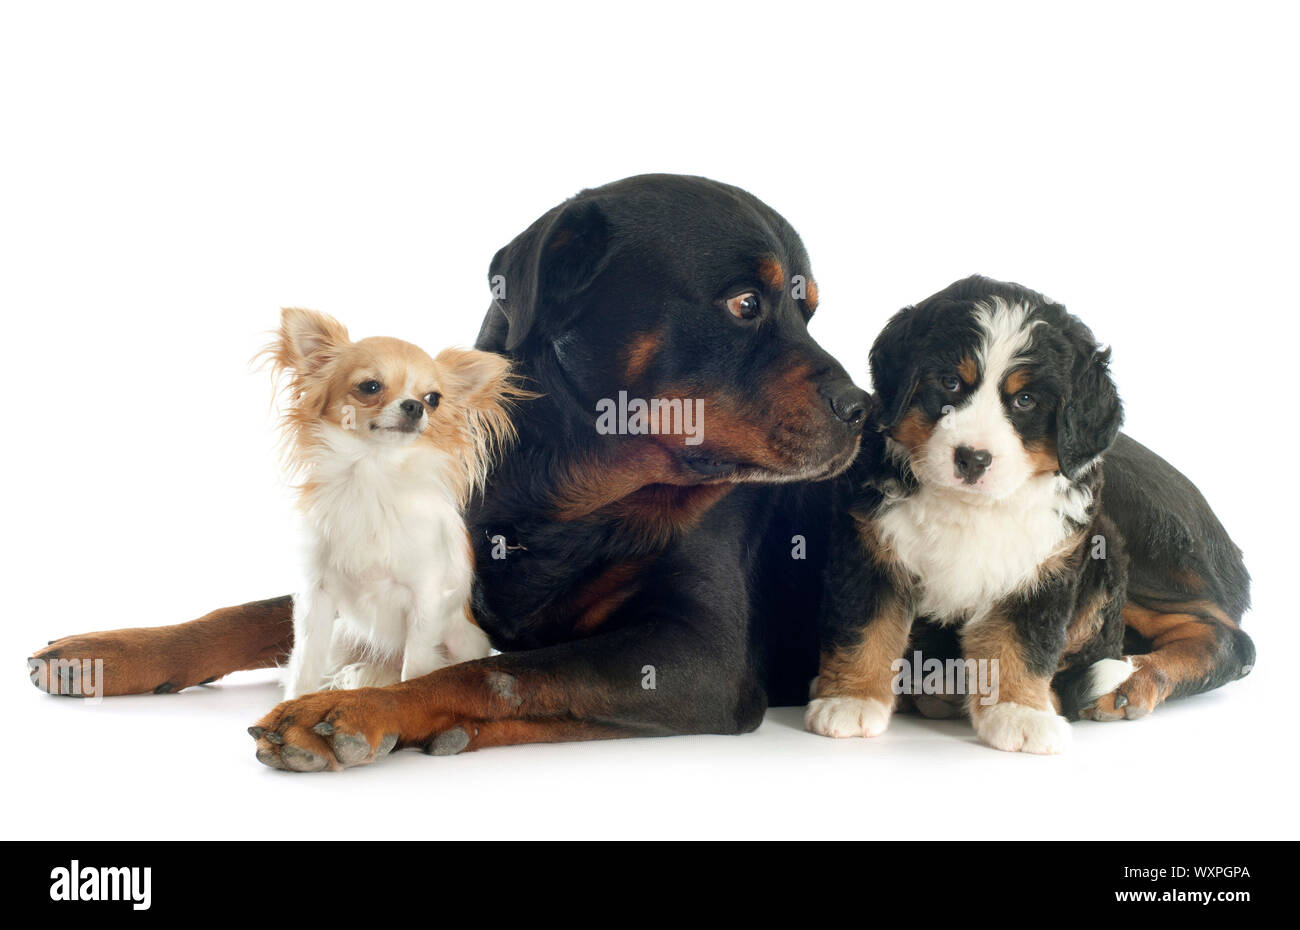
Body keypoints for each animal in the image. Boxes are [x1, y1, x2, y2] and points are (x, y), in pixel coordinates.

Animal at [265, 309, 517, 702]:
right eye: (370, 387)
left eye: (433, 398)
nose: (414, 406)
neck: (373, 473)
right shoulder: (316, 597)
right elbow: (305, 663)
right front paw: (295, 702)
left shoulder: (425, 601)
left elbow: (414, 670)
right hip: (343, 638)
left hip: (462, 639)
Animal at [806, 273, 1253, 754]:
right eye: (949, 383)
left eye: (1024, 401)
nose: (973, 458)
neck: (970, 507)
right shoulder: (871, 546)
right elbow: (866, 627)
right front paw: (851, 701)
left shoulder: (1043, 564)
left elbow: (1021, 641)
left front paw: (1020, 713)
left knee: (1225, 637)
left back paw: (1124, 683)